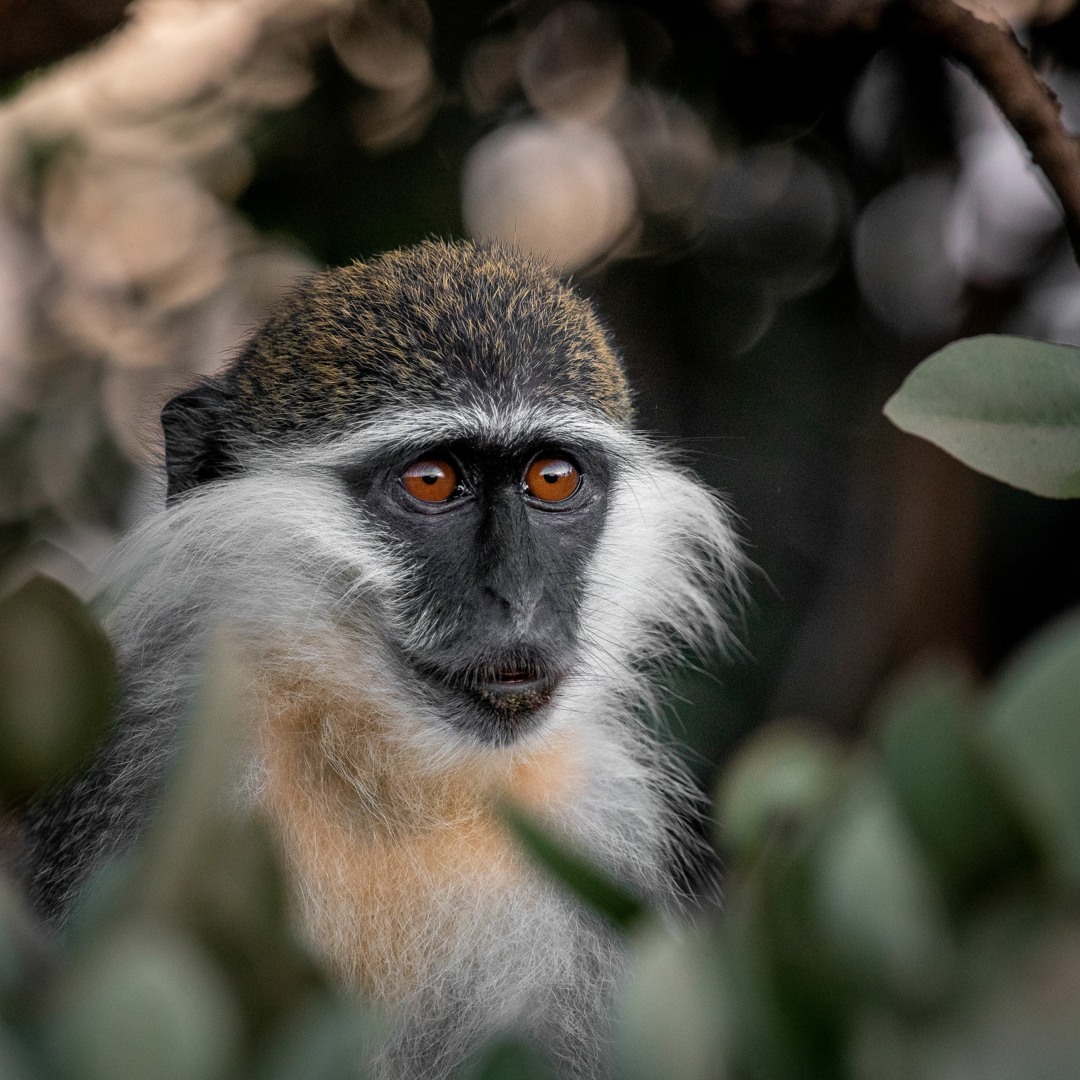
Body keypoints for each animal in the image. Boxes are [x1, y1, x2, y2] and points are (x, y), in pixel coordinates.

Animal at [20, 240, 744, 1078]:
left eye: (552, 477)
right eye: (432, 481)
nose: (517, 600)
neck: (391, 775)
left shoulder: (593, 817)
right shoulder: (155, 752)